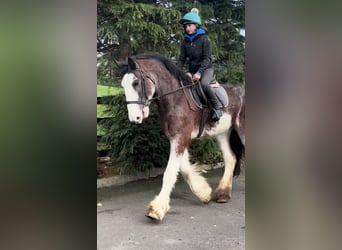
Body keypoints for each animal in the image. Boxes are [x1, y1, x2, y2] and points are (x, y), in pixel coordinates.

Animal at [119, 52, 244, 221]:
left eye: (136, 82)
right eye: (123, 85)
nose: (135, 118)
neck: (176, 99)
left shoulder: (181, 138)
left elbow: (169, 173)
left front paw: (156, 209)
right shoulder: (176, 138)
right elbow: (183, 169)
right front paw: (203, 192)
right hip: (222, 133)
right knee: (230, 158)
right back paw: (223, 194)